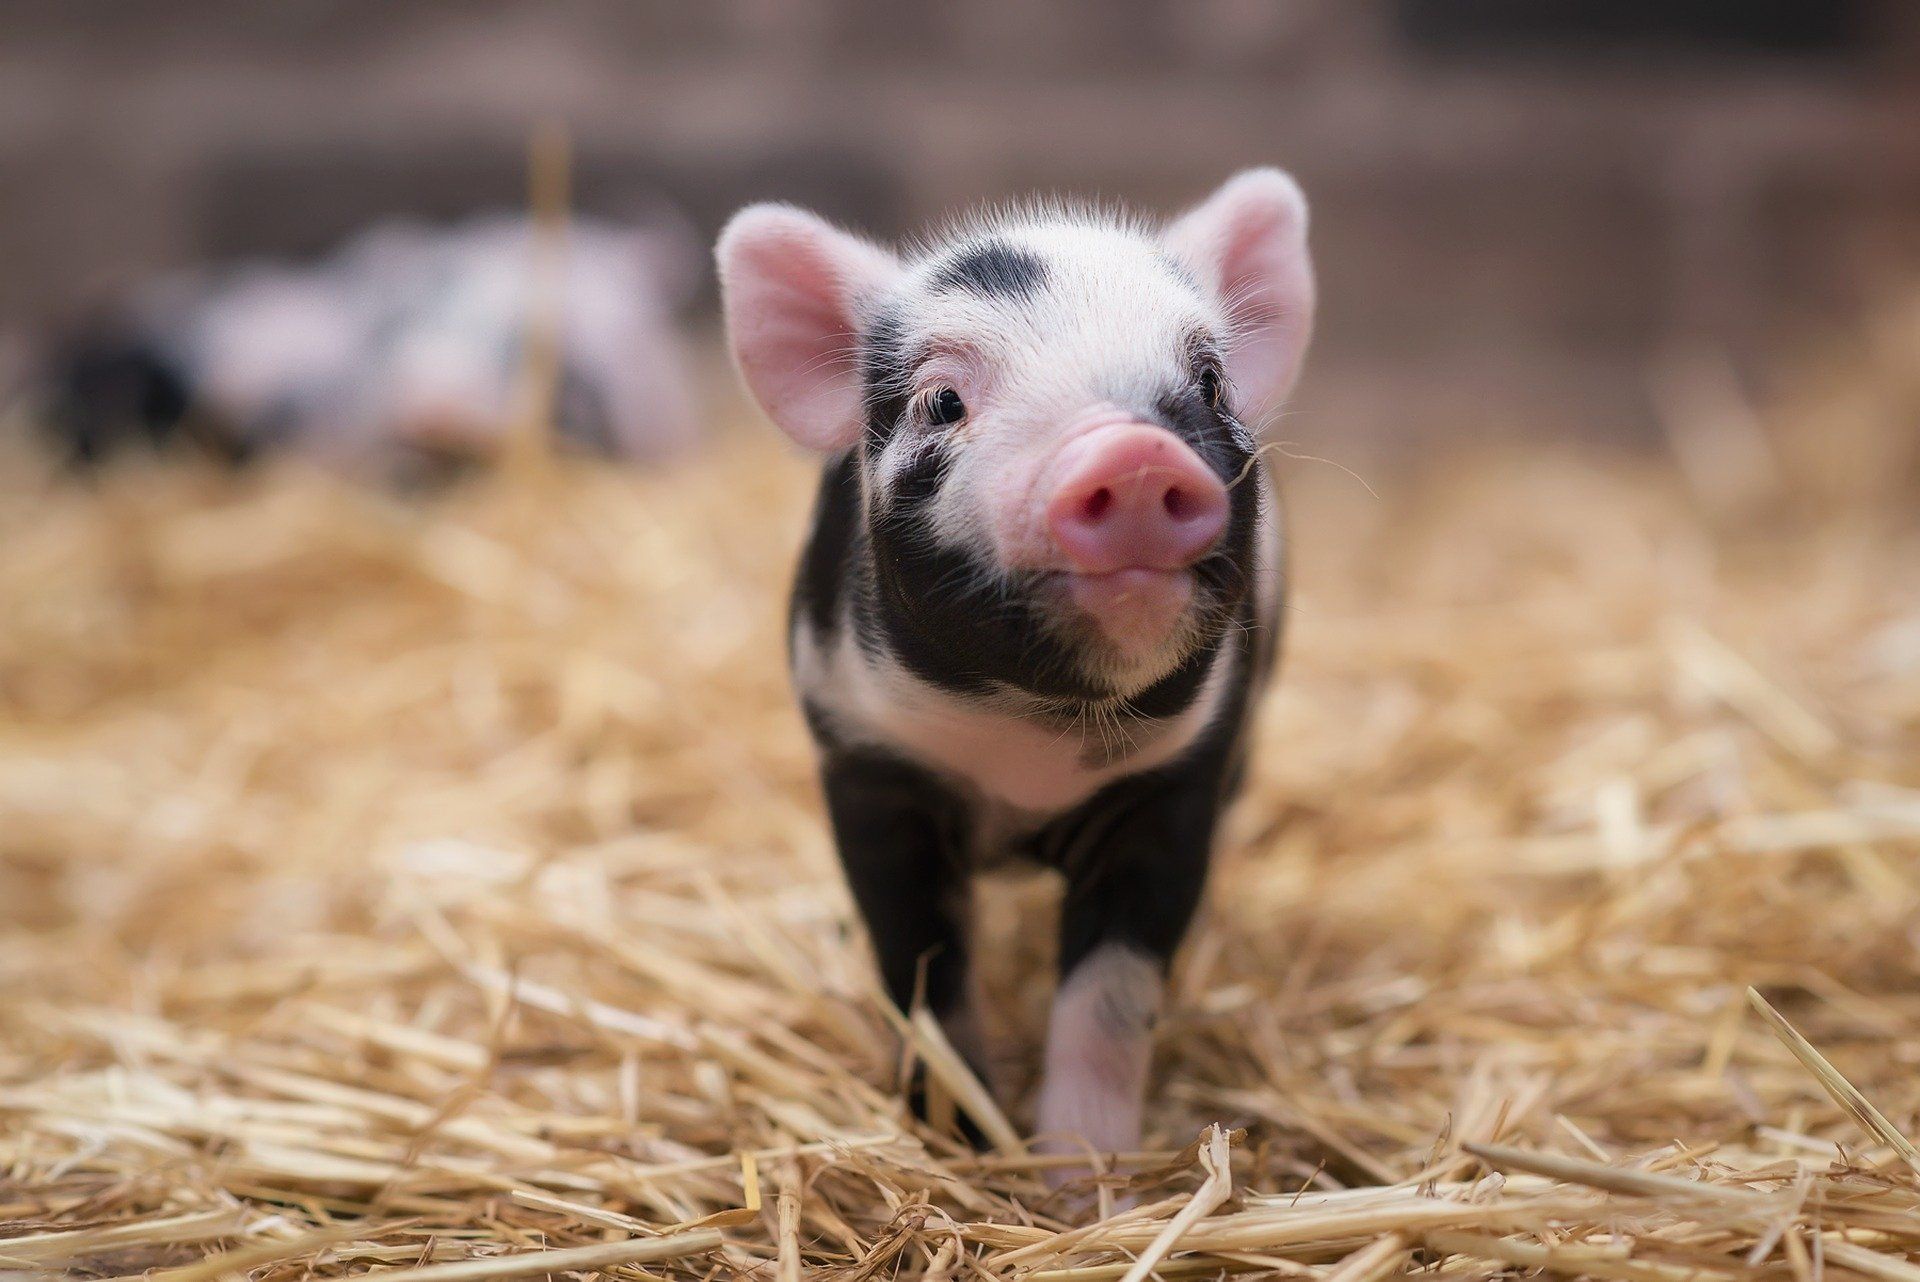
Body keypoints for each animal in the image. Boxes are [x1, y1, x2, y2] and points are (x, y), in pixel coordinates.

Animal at [716, 170, 1314, 1173]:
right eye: (943, 402)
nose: (1135, 453)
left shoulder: (1174, 792)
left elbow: (1111, 1001)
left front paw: (1084, 1178)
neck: (1028, 755)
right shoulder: (870, 772)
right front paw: (959, 1144)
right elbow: (921, 972)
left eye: (1207, 380)